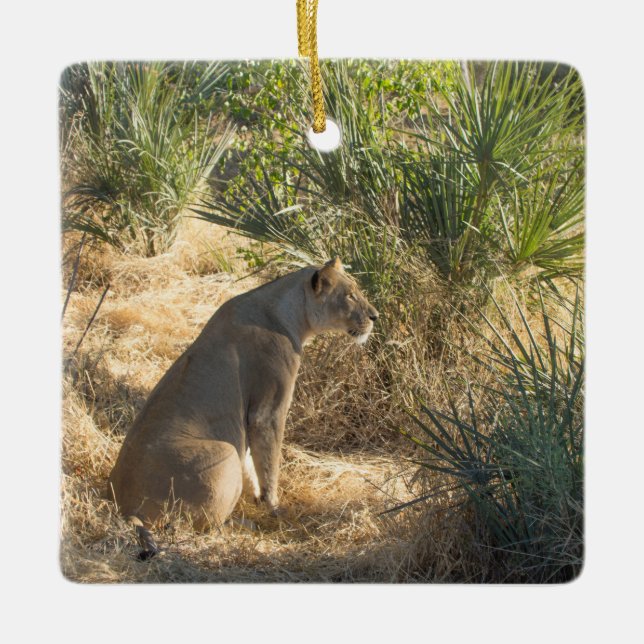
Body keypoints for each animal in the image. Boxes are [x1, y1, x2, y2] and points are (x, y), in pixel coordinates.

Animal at [107, 258, 378, 557]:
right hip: (223, 451)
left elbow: (250, 461)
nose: (375, 316)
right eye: (350, 295)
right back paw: (244, 525)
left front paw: (258, 499)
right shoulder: (268, 410)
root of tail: (127, 509)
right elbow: (269, 463)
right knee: (202, 526)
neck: (288, 310)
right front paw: (275, 509)